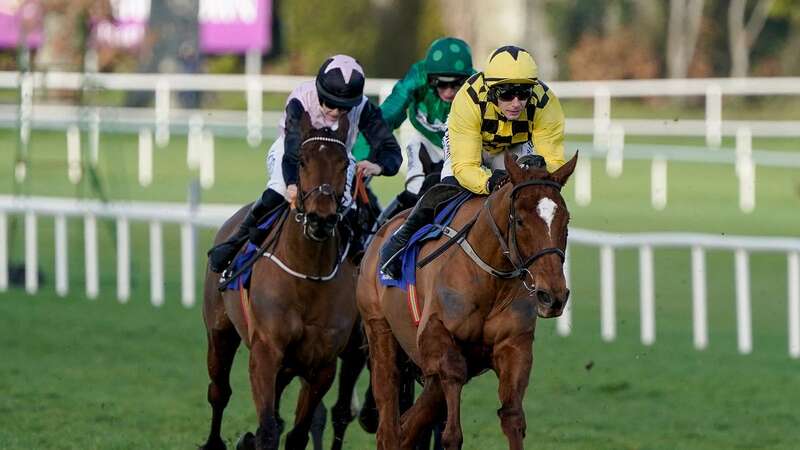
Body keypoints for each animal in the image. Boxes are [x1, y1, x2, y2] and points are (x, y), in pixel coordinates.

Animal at [200, 113, 362, 450]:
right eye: (301, 160)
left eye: (344, 163)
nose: (321, 218)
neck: (308, 275)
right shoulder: (266, 351)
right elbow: (268, 430)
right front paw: (253, 437)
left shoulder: (322, 364)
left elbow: (297, 434)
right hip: (220, 332)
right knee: (219, 392)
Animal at [356, 152, 576, 450]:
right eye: (519, 220)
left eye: (566, 220)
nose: (552, 295)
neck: (491, 279)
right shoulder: (436, 338)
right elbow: (452, 426)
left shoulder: (514, 346)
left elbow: (513, 418)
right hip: (379, 330)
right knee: (389, 418)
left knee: (409, 425)